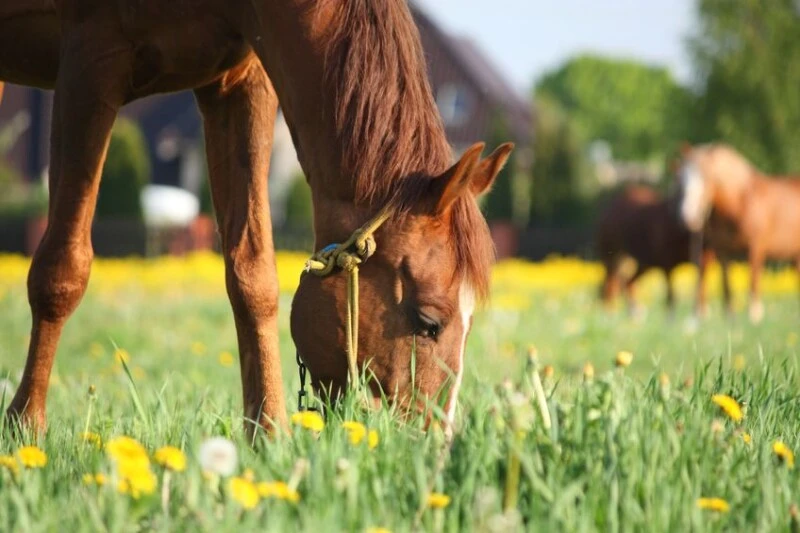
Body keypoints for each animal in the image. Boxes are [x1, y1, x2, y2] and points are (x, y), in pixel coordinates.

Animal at [0, 0, 513, 435]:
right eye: (428, 322)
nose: (431, 445)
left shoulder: (240, 81)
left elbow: (253, 277)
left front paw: (269, 435)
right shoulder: (90, 62)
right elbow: (62, 271)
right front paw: (26, 428)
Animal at [596, 185, 716, 317]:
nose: (689, 218)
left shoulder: (702, 261)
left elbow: (701, 287)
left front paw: (701, 313)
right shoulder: (667, 264)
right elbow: (671, 296)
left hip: (642, 263)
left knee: (627, 282)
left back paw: (634, 311)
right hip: (614, 257)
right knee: (610, 285)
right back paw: (610, 313)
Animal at [676, 142, 800, 322]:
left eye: (707, 178)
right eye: (681, 179)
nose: (688, 216)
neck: (738, 203)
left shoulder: (756, 248)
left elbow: (753, 280)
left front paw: (754, 315)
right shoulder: (723, 251)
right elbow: (726, 283)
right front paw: (730, 315)